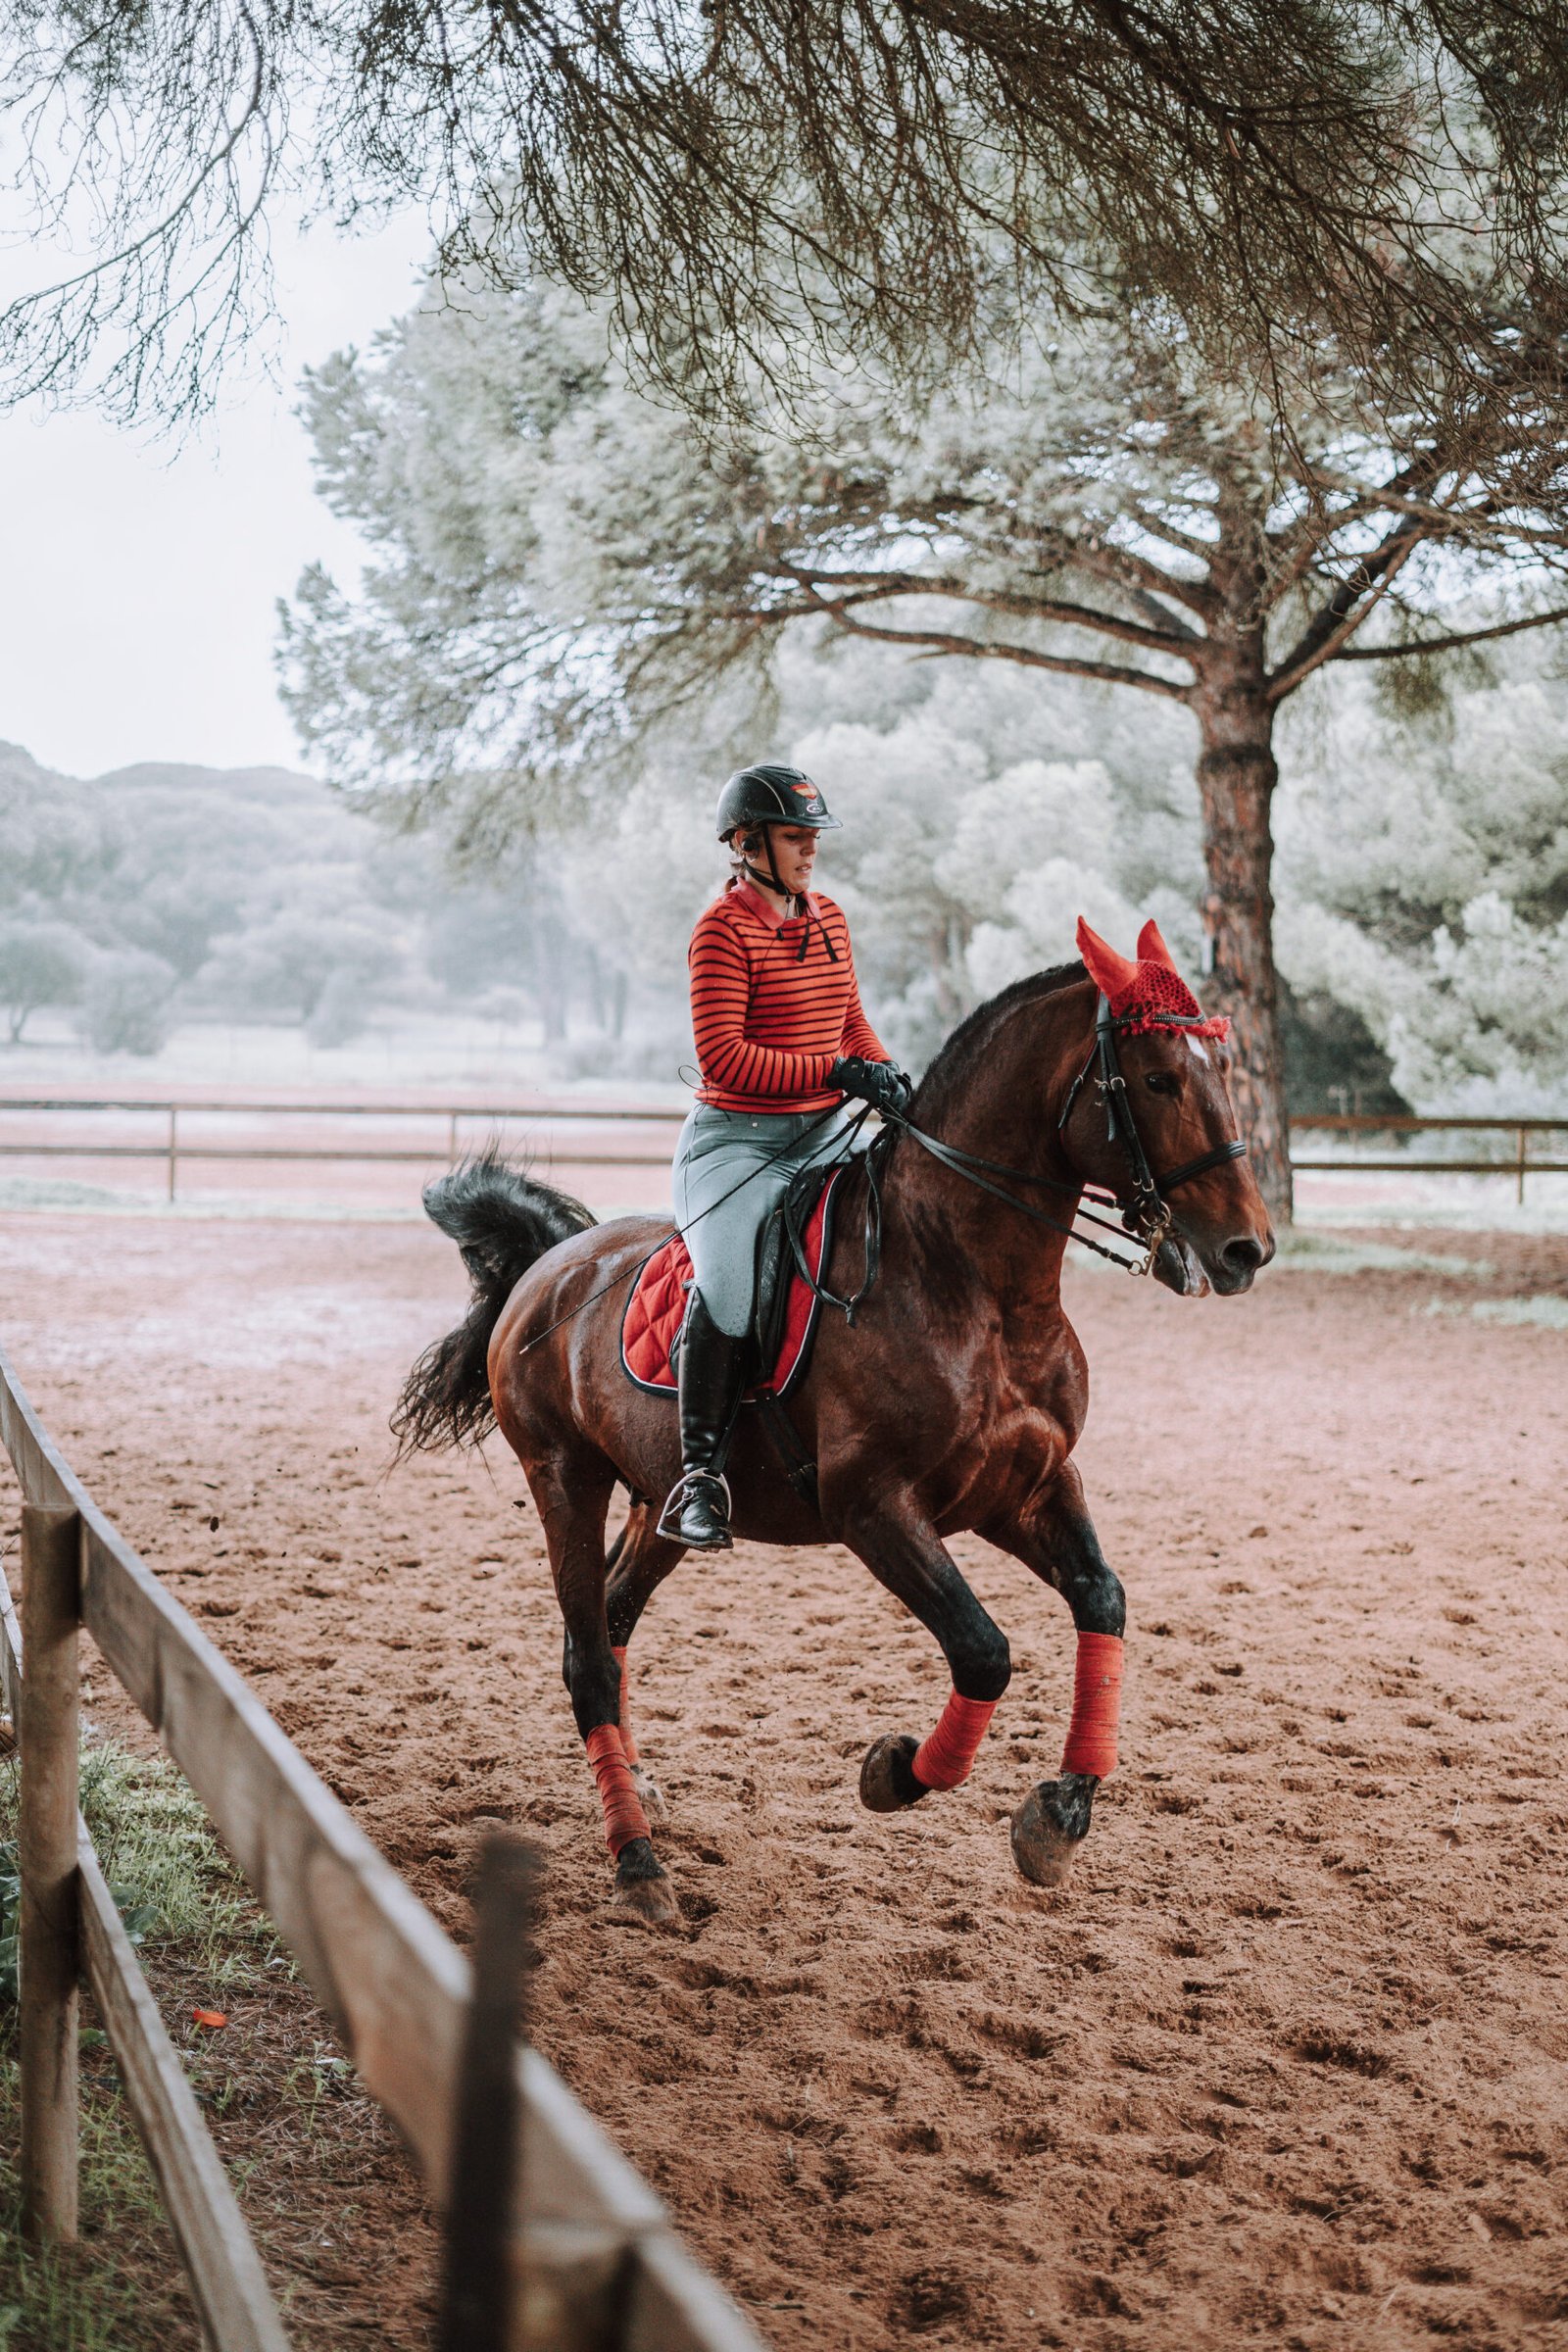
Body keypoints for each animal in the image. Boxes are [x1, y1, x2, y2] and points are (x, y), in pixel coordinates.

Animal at [394, 921, 1274, 1926]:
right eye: (1158, 1080)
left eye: (1221, 1065)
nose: (1246, 1250)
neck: (976, 1285)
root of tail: (551, 1264)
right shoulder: (873, 1507)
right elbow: (984, 1651)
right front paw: (898, 1772)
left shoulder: (1028, 1489)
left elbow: (1102, 1602)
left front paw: (1058, 1816)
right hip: (564, 1479)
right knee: (586, 1655)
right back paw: (640, 1864)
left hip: (658, 1502)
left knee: (611, 1623)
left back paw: (639, 1790)